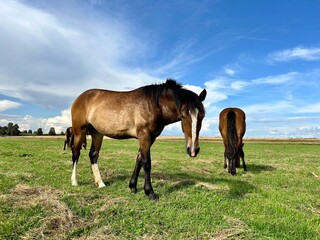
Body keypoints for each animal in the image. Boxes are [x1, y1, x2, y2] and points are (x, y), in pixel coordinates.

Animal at [69, 79, 208, 200]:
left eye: (202, 116)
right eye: (183, 116)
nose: (193, 150)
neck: (155, 104)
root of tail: (80, 98)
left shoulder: (151, 138)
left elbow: (139, 159)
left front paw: (133, 187)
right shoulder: (144, 135)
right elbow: (146, 162)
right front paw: (150, 192)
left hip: (97, 133)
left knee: (93, 155)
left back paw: (100, 183)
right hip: (79, 131)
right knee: (76, 153)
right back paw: (74, 181)